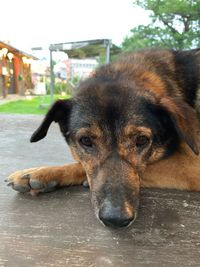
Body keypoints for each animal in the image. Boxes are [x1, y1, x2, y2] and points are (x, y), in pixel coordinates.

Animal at [6, 48, 200, 228]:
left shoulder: (193, 164)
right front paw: (41, 173)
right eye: (85, 141)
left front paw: (42, 172)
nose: (116, 219)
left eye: (141, 140)